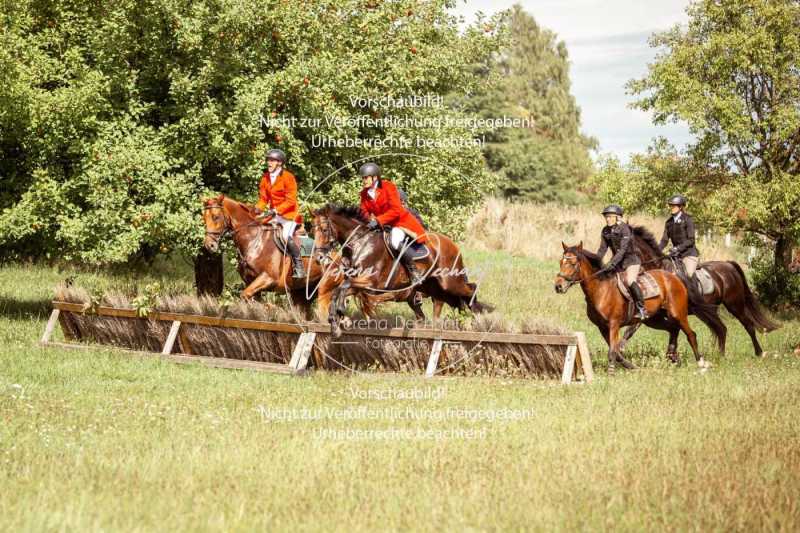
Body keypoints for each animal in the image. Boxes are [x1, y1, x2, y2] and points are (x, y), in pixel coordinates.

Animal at [310, 204, 488, 336]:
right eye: (313, 230)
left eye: (324, 230)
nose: (319, 257)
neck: (361, 242)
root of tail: (453, 245)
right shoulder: (360, 285)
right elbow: (340, 290)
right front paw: (336, 320)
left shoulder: (371, 283)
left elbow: (345, 288)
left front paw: (340, 313)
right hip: (433, 289)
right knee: (449, 303)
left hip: (449, 281)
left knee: (470, 289)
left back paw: (479, 317)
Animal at [552, 242, 720, 370]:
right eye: (560, 262)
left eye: (573, 263)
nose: (558, 286)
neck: (601, 288)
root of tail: (674, 277)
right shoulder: (602, 327)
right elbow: (617, 352)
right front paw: (631, 366)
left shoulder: (613, 324)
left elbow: (613, 350)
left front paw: (611, 371)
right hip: (654, 319)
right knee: (673, 329)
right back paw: (673, 357)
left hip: (677, 313)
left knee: (691, 334)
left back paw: (701, 363)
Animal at [628, 225, 780, 356]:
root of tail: (728, 264)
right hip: (710, 310)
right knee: (722, 328)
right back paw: (720, 356)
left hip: (734, 304)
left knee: (748, 325)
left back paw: (758, 352)